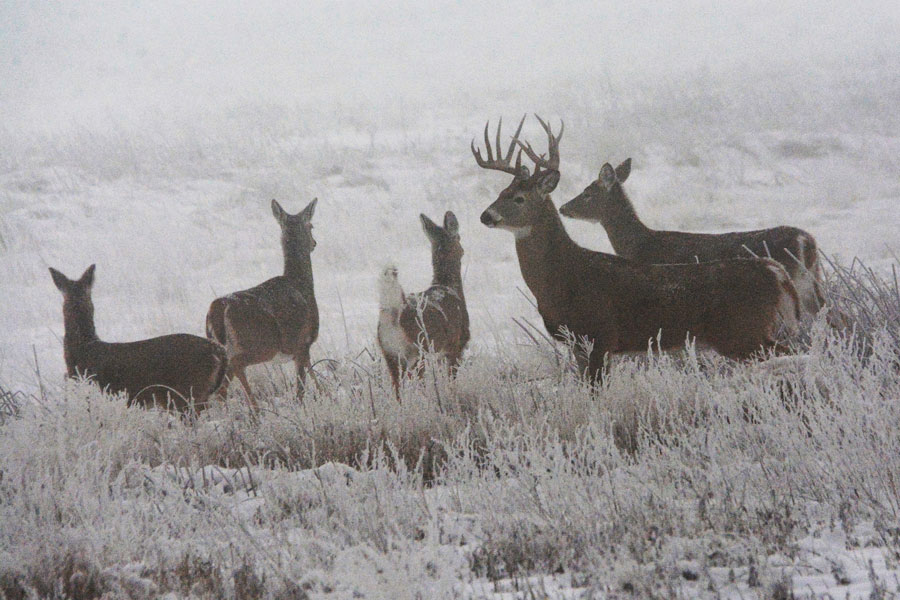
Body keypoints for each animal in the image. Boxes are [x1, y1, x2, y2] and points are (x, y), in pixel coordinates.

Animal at [206, 198, 319, 411]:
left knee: (220, 386)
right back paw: (255, 409)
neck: (300, 283)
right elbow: (301, 388)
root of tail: (218, 307)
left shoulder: (302, 349)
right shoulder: (303, 342)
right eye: (311, 226)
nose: (315, 243)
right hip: (258, 343)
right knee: (235, 368)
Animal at [377, 211, 470, 398]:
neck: (449, 286)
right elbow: (451, 380)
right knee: (416, 383)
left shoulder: (440, 353)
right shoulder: (457, 344)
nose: (464, 250)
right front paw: (452, 396)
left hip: (389, 353)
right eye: (459, 237)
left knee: (397, 389)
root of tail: (395, 312)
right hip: (417, 350)